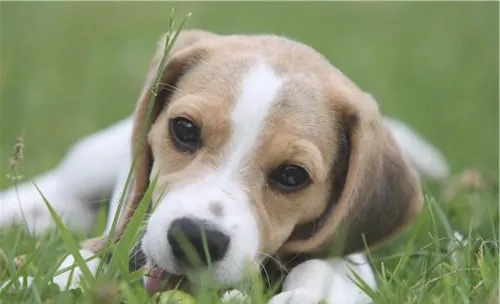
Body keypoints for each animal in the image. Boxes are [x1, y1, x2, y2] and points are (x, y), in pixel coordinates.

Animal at [0, 29, 452, 304]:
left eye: (292, 176)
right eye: (184, 129)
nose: (194, 238)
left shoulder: (348, 254)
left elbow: (325, 266)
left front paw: (306, 292)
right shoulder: (118, 238)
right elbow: (84, 261)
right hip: (95, 159)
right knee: (57, 187)